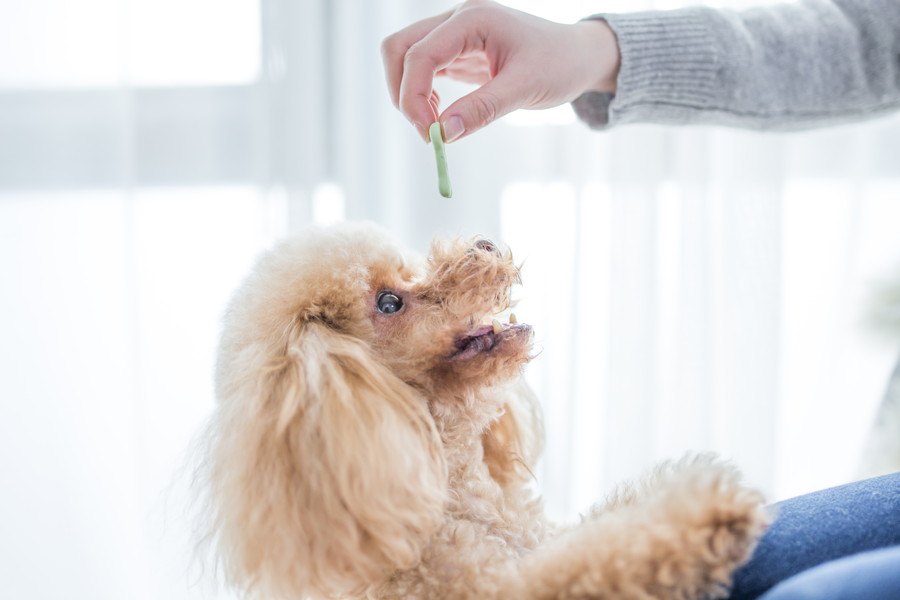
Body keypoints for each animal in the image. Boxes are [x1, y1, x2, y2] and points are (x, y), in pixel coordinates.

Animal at [200, 223, 768, 596]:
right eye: (388, 304)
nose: (485, 244)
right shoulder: (503, 586)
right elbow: (599, 557)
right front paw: (706, 510)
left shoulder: (541, 536)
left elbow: (599, 521)